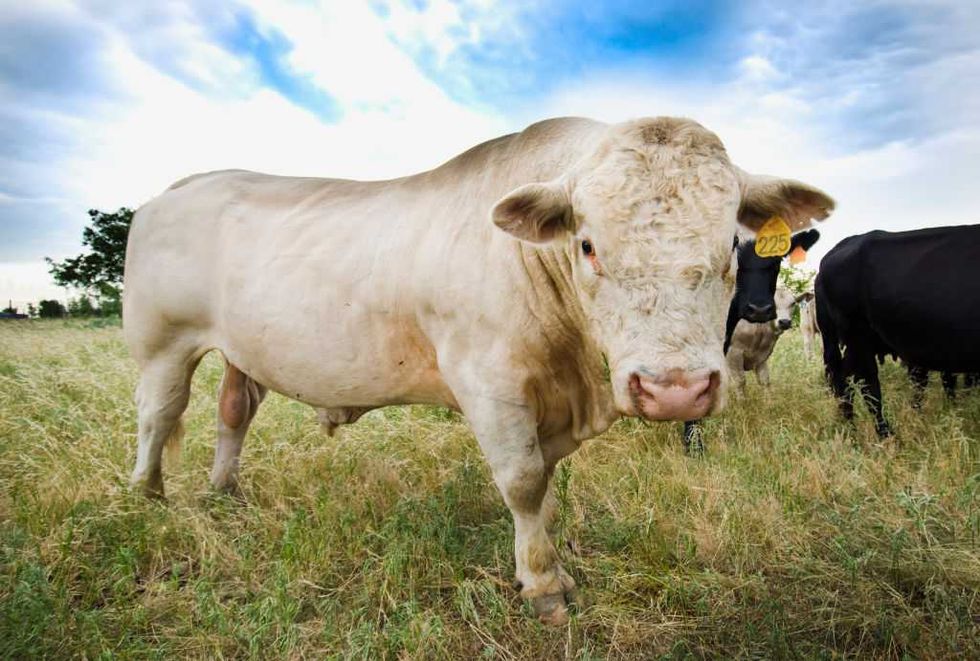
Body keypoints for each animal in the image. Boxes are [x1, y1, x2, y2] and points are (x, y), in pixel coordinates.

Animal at [682, 231, 820, 454]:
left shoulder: (762, 357)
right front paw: (742, 406)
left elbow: (765, 381)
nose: (783, 321)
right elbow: (740, 382)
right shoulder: (733, 354)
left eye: (792, 303)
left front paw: (769, 405)